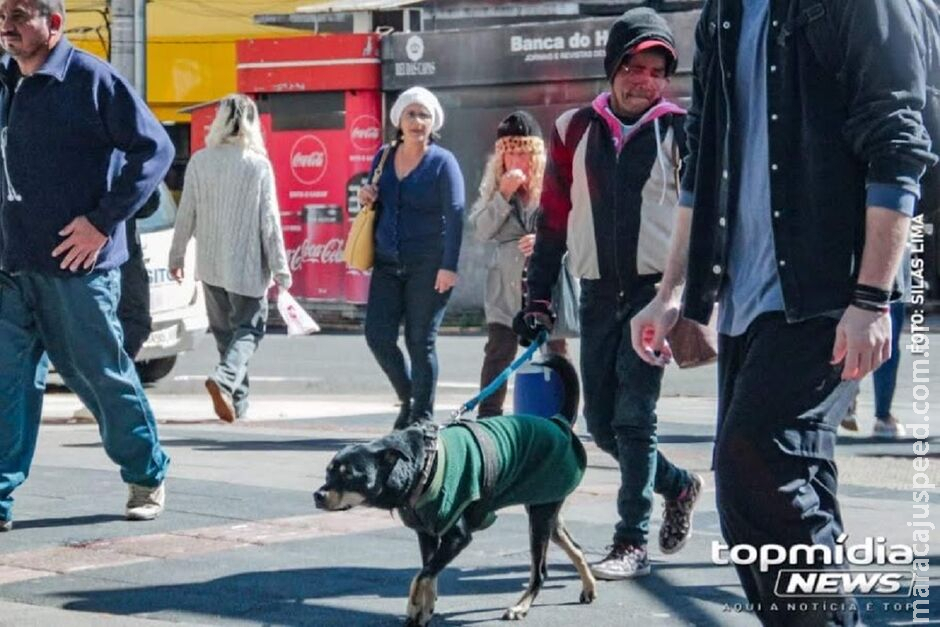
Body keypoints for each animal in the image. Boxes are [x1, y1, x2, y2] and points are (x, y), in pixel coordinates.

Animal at [316, 356, 596, 624]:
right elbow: (429, 572)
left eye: (349, 475)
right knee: (576, 546)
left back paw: (521, 607)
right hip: (547, 512)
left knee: (540, 571)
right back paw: (589, 587)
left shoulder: (458, 537)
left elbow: (421, 575)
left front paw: (414, 605)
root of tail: (558, 423)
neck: (422, 465)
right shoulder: (427, 533)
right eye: (328, 472)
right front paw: (426, 609)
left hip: (539, 518)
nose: (318, 495)